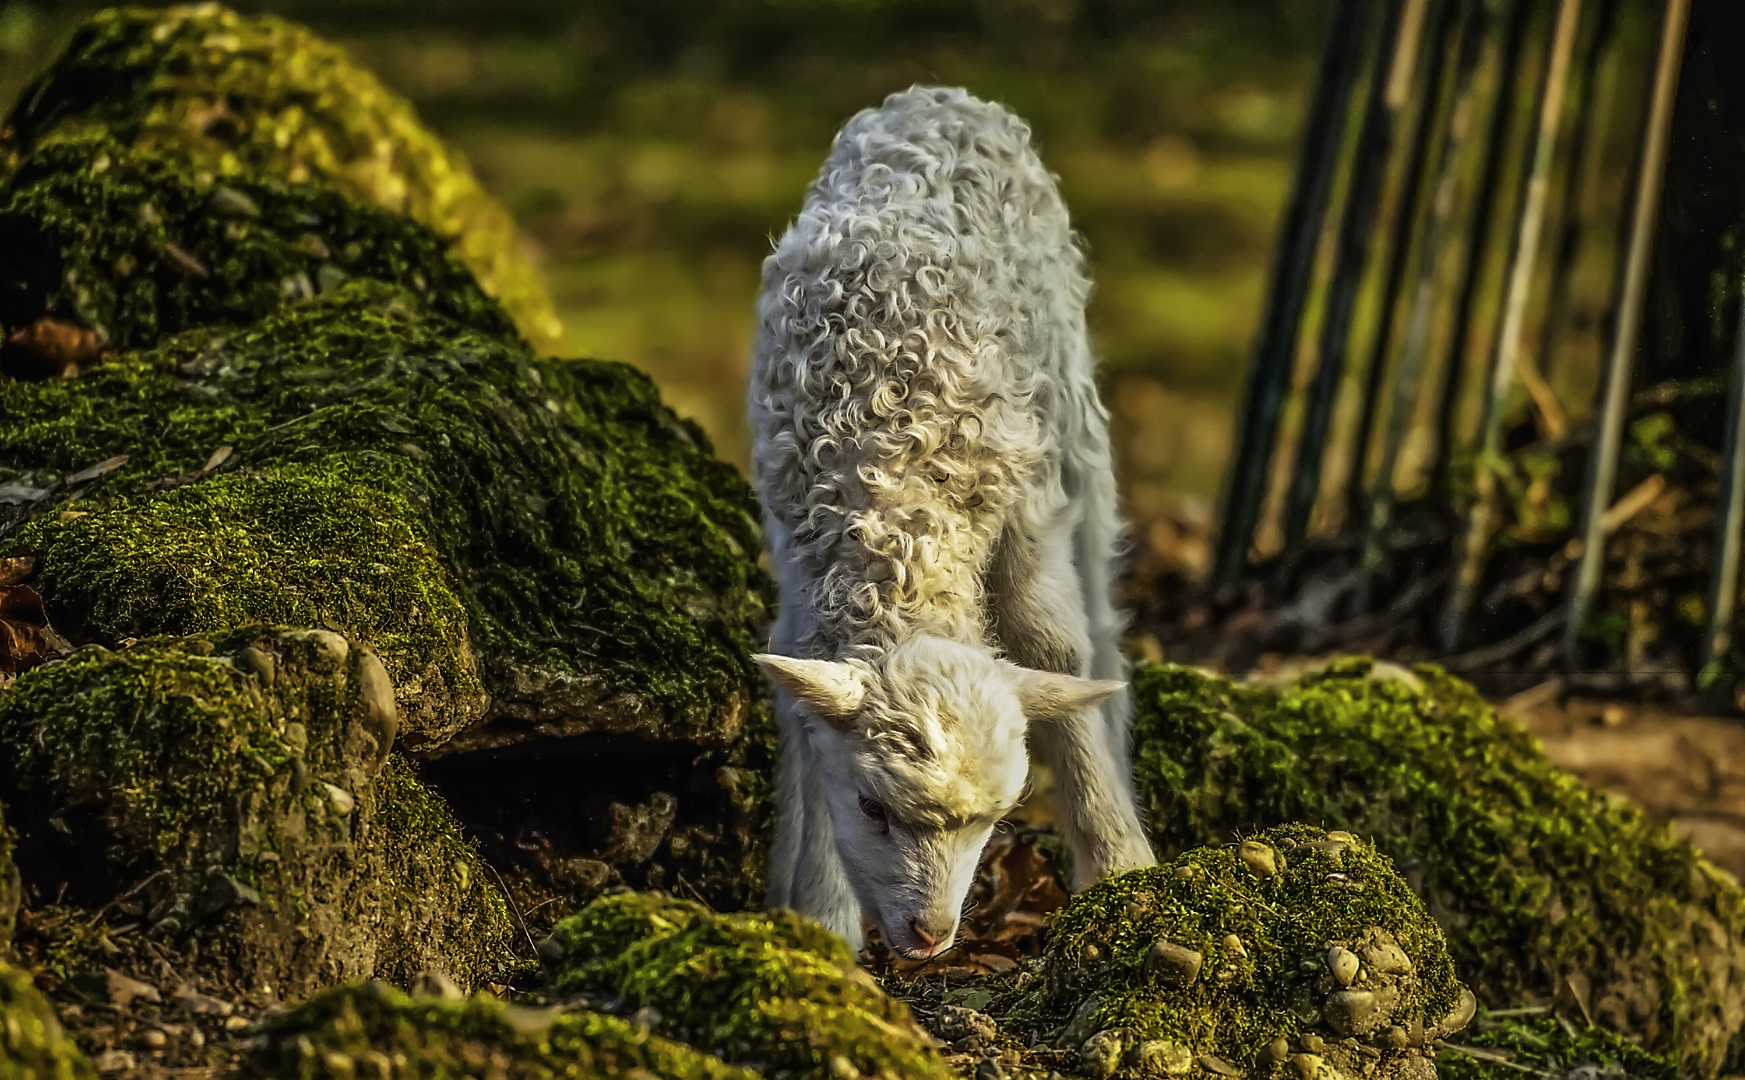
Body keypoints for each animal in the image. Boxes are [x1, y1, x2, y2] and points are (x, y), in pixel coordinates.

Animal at [743, 88, 1151, 956]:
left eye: (994, 819)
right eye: (870, 807)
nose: (930, 937)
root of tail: (936, 96)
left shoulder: (1025, 500)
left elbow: (1048, 641)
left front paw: (1120, 865)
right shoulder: (795, 540)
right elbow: (795, 690)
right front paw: (815, 913)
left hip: (1072, 404)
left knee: (1100, 618)